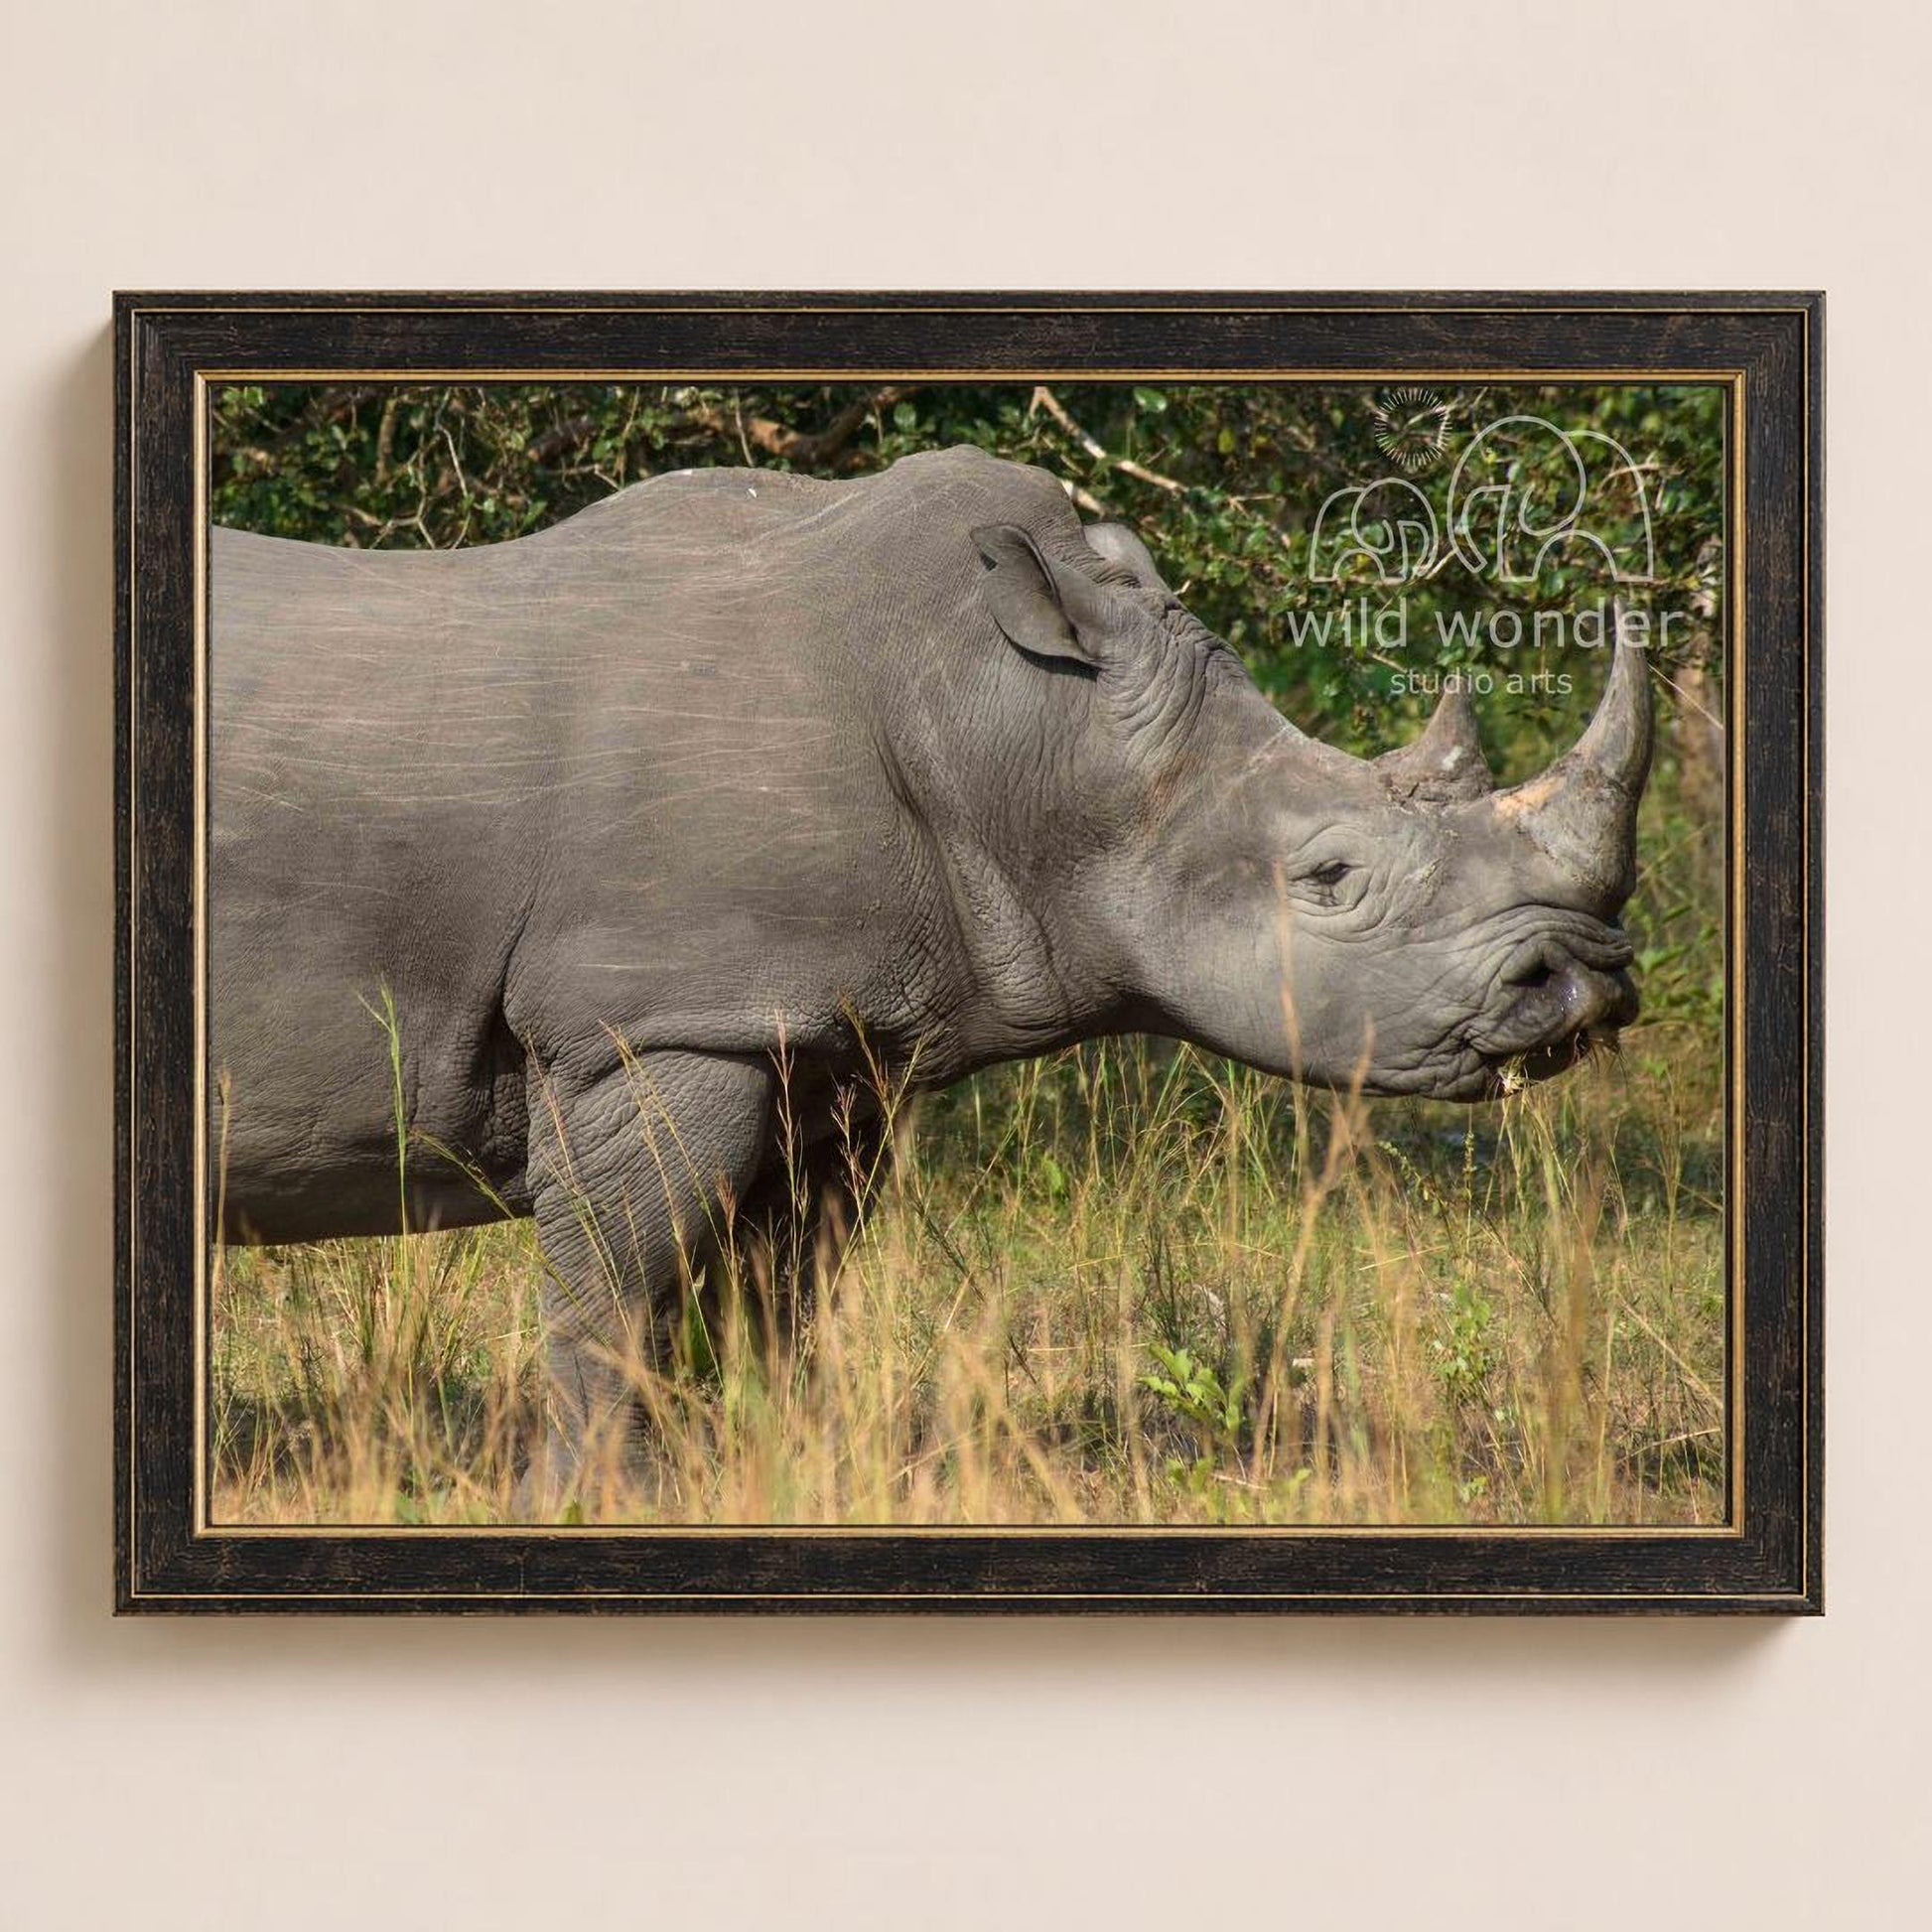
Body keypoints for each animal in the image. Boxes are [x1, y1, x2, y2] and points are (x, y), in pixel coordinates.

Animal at [212, 444, 1650, 1490]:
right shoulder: (657, 1015)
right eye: (1330, 876)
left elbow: (772, 1294)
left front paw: (757, 1473)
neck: (1017, 722)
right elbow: (615, 1292)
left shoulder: (822, 1035)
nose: (1581, 981)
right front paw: (586, 1502)